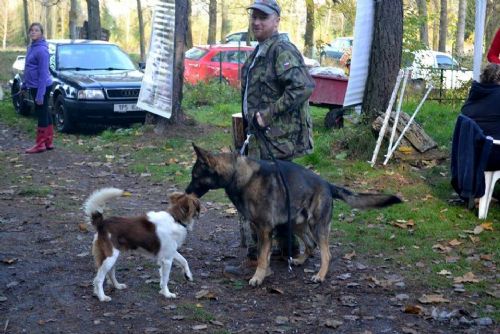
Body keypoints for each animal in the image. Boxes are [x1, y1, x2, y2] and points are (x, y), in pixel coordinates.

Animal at [186, 145, 400, 286]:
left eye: (195, 176)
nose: (186, 192)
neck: (239, 175)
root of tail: (328, 185)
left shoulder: (264, 229)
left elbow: (263, 256)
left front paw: (258, 277)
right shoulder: (258, 228)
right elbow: (264, 254)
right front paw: (265, 273)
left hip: (317, 226)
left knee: (326, 253)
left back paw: (320, 275)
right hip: (295, 223)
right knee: (311, 245)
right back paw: (299, 260)